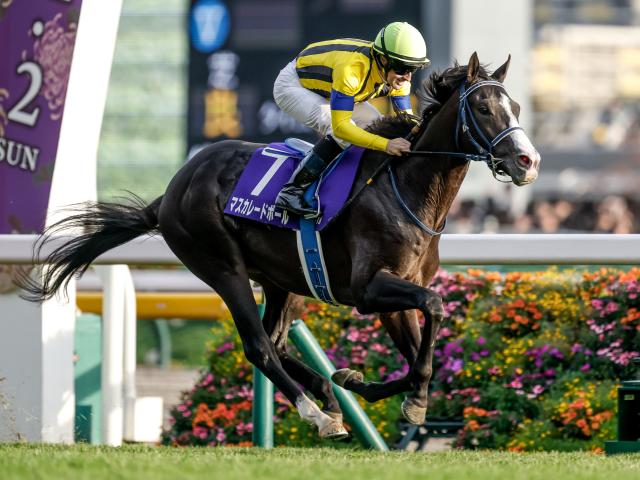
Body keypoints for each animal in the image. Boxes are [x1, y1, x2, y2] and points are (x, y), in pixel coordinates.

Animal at [17, 53, 540, 440]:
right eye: (485, 108)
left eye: (515, 107)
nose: (528, 161)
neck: (407, 189)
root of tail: (171, 191)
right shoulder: (369, 289)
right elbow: (433, 308)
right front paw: (381, 394)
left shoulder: (397, 290)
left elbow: (418, 359)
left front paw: (375, 388)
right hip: (222, 267)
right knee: (258, 347)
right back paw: (317, 413)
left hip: (282, 279)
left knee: (276, 339)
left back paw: (326, 395)